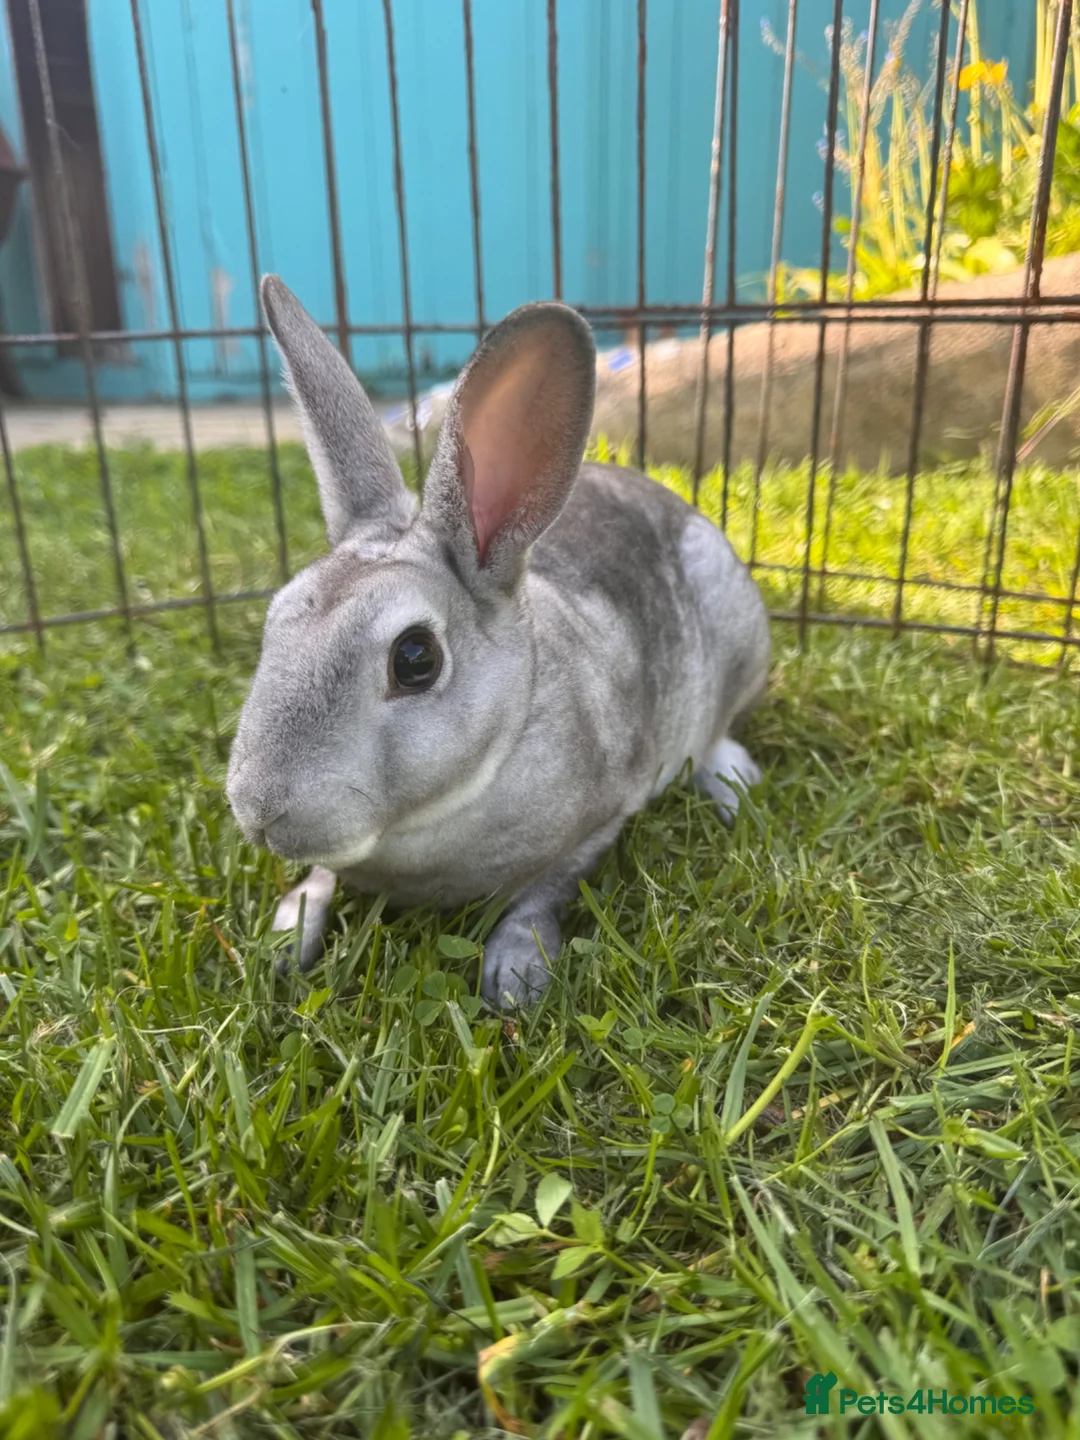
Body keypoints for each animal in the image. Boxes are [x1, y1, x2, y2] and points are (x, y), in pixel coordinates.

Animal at [226, 276, 771, 1007]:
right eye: (276, 618)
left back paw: (734, 783)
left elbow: (544, 892)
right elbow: (321, 877)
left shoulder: (601, 820)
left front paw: (515, 977)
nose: (259, 809)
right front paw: (286, 938)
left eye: (415, 659)